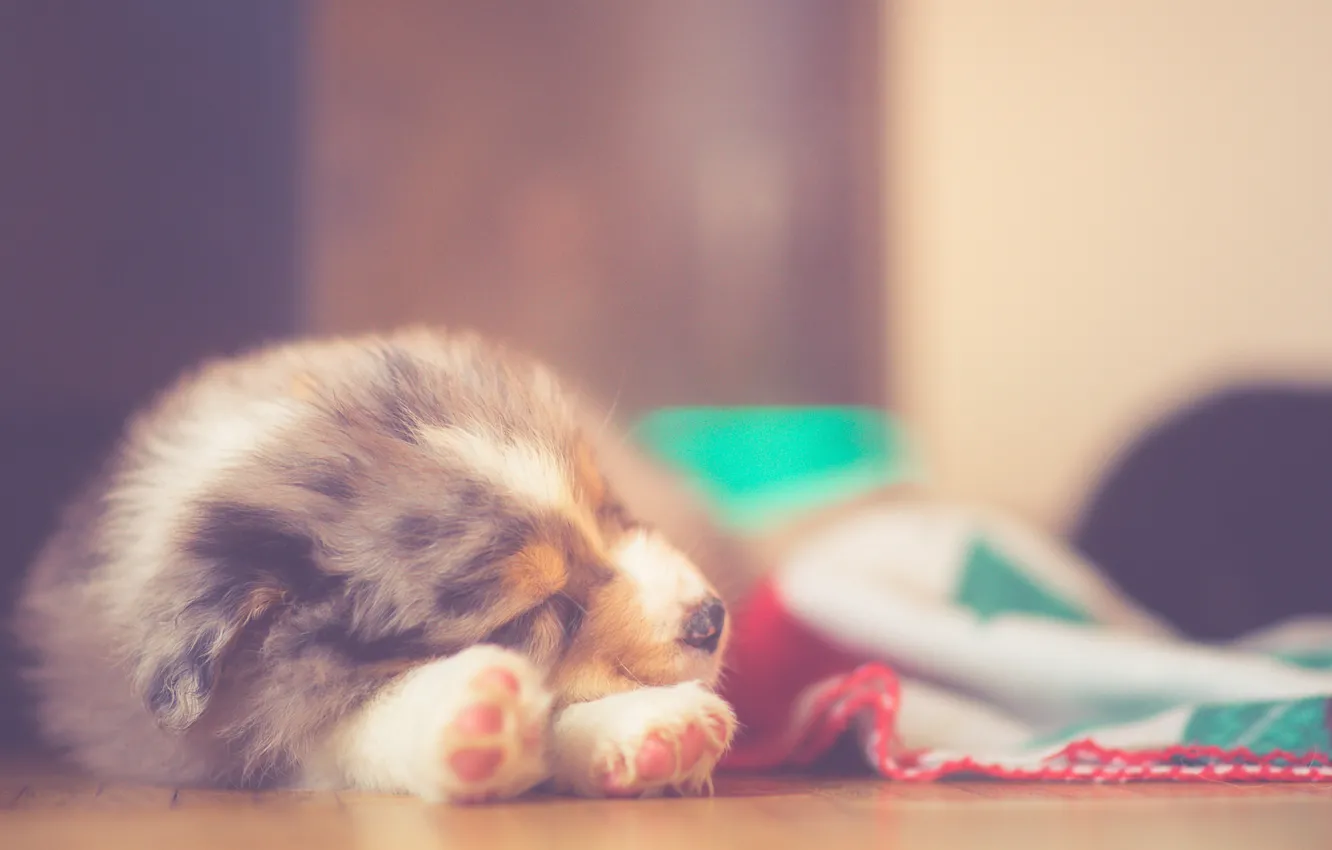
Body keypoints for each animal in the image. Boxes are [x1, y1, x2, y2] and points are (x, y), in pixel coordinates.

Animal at [10, 327, 745, 804]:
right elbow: (335, 729)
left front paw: (653, 731)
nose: (711, 618)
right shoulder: (220, 736)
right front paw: (467, 716)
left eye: (608, 506)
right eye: (541, 609)